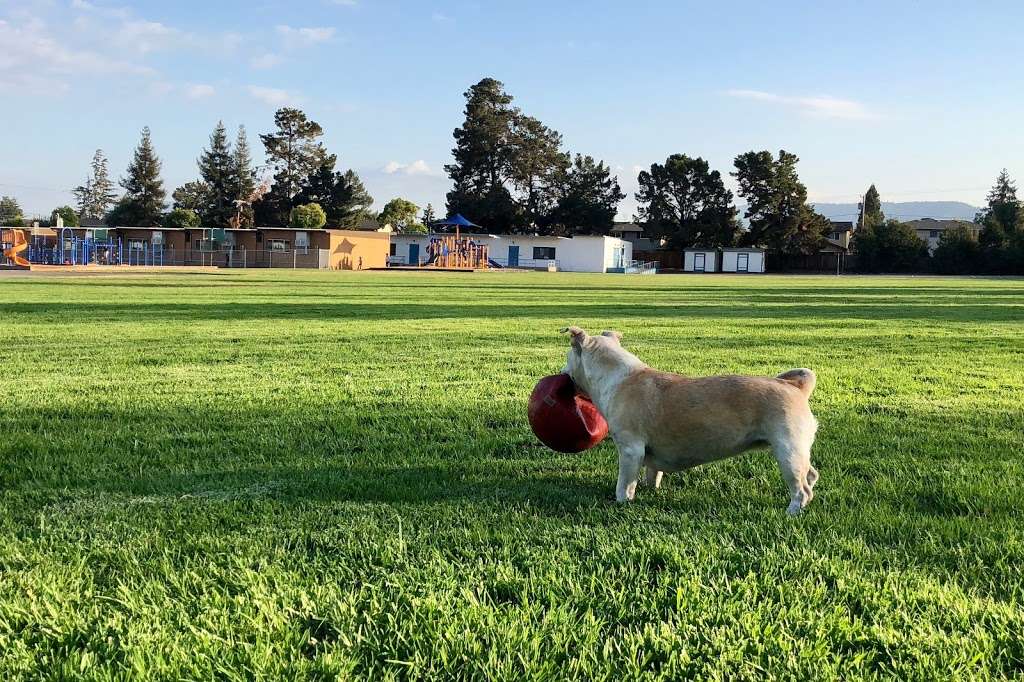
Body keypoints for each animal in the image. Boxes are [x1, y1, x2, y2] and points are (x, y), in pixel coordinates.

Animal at [561, 327, 815, 512]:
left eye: (567, 356)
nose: (561, 373)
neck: (619, 378)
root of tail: (796, 387)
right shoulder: (648, 455)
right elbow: (652, 473)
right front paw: (650, 489)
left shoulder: (630, 450)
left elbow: (624, 483)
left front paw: (622, 501)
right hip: (797, 451)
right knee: (811, 475)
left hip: (787, 452)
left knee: (801, 489)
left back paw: (792, 511)